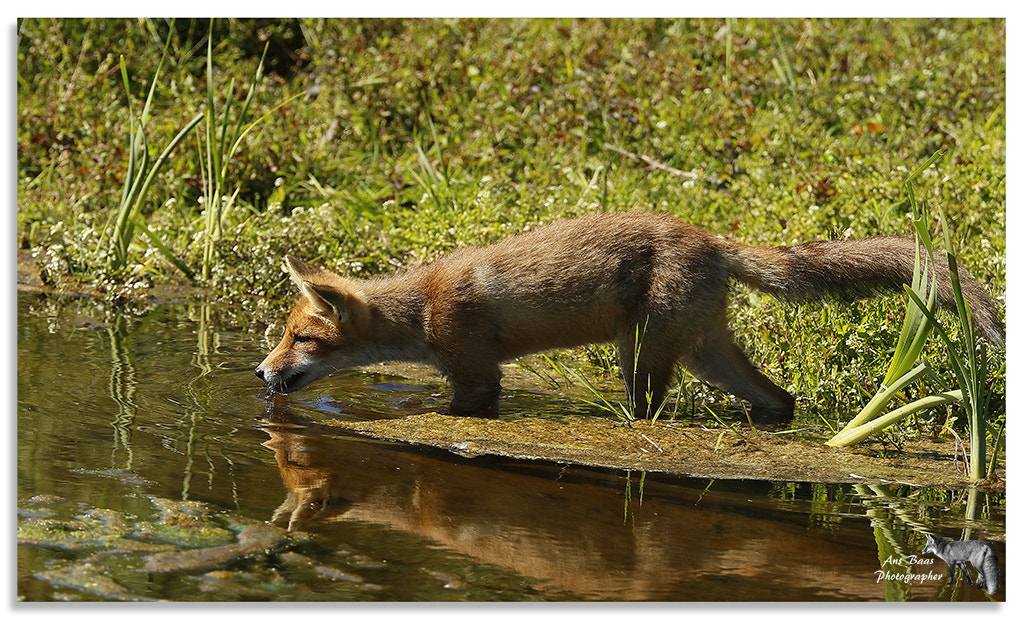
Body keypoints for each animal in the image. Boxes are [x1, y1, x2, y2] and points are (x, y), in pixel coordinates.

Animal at [253, 209, 999, 420]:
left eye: (300, 338)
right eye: (281, 337)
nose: (260, 374)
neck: (424, 308)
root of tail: (711, 238)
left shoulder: (477, 375)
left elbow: (459, 408)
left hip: (640, 357)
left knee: (649, 409)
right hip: (704, 353)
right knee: (780, 400)